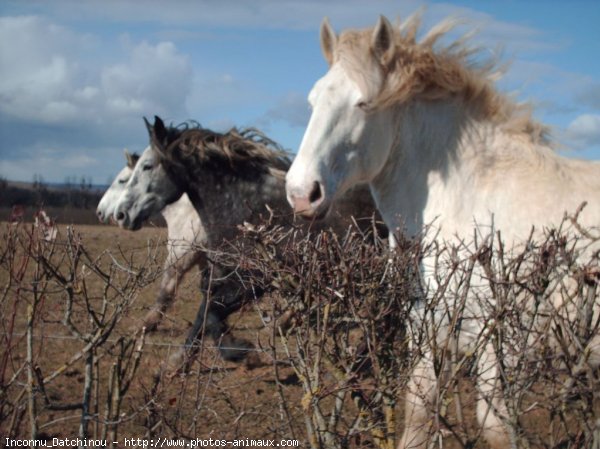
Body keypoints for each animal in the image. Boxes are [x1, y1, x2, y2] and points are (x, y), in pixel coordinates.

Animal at [95, 150, 204, 328]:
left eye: (122, 180)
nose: (100, 212)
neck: (188, 211)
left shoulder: (182, 253)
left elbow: (166, 288)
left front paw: (148, 323)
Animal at [288, 13, 600, 448]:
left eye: (364, 103)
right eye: (313, 101)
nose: (302, 193)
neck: (471, 202)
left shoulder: (501, 341)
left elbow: (495, 426)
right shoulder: (427, 328)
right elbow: (419, 415)